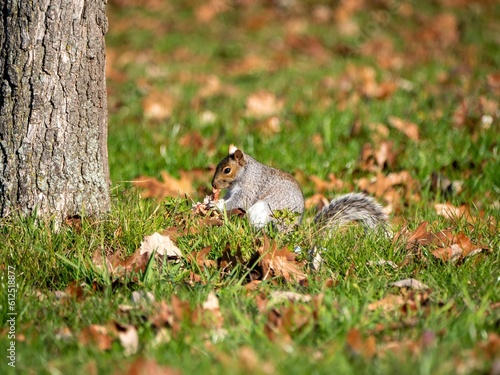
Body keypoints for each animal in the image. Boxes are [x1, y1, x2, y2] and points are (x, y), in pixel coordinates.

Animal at [209, 145, 388, 234]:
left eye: (227, 170)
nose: (214, 185)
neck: (245, 173)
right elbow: (229, 200)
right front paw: (211, 201)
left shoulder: (250, 187)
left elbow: (239, 201)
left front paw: (215, 205)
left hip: (264, 211)